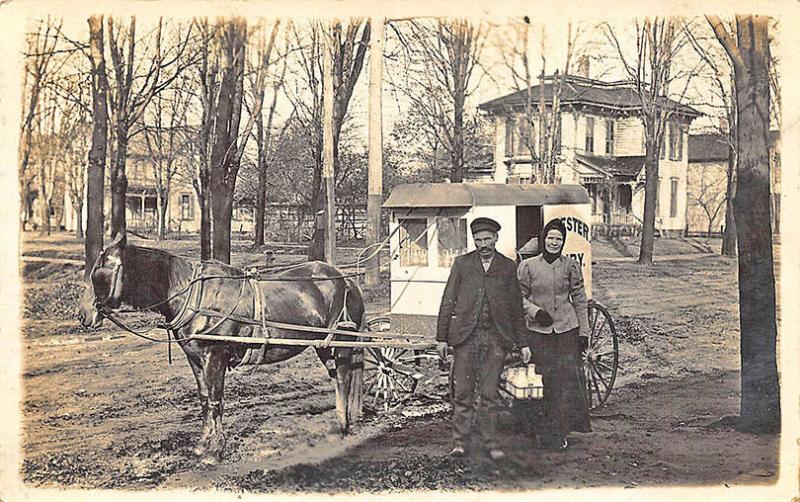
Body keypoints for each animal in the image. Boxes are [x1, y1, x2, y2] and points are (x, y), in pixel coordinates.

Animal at [76, 233, 364, 464]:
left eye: (100, 274)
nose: (83, 315)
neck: (191, 293)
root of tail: (346, 280)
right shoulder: (195, 358)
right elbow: (205, 401)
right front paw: (203, 446)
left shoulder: (215, 355)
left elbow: (216, 401)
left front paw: (214, 452)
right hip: (323, 345)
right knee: (342, 376)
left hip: (340, 342)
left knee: (343, 377)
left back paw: (341, 426)